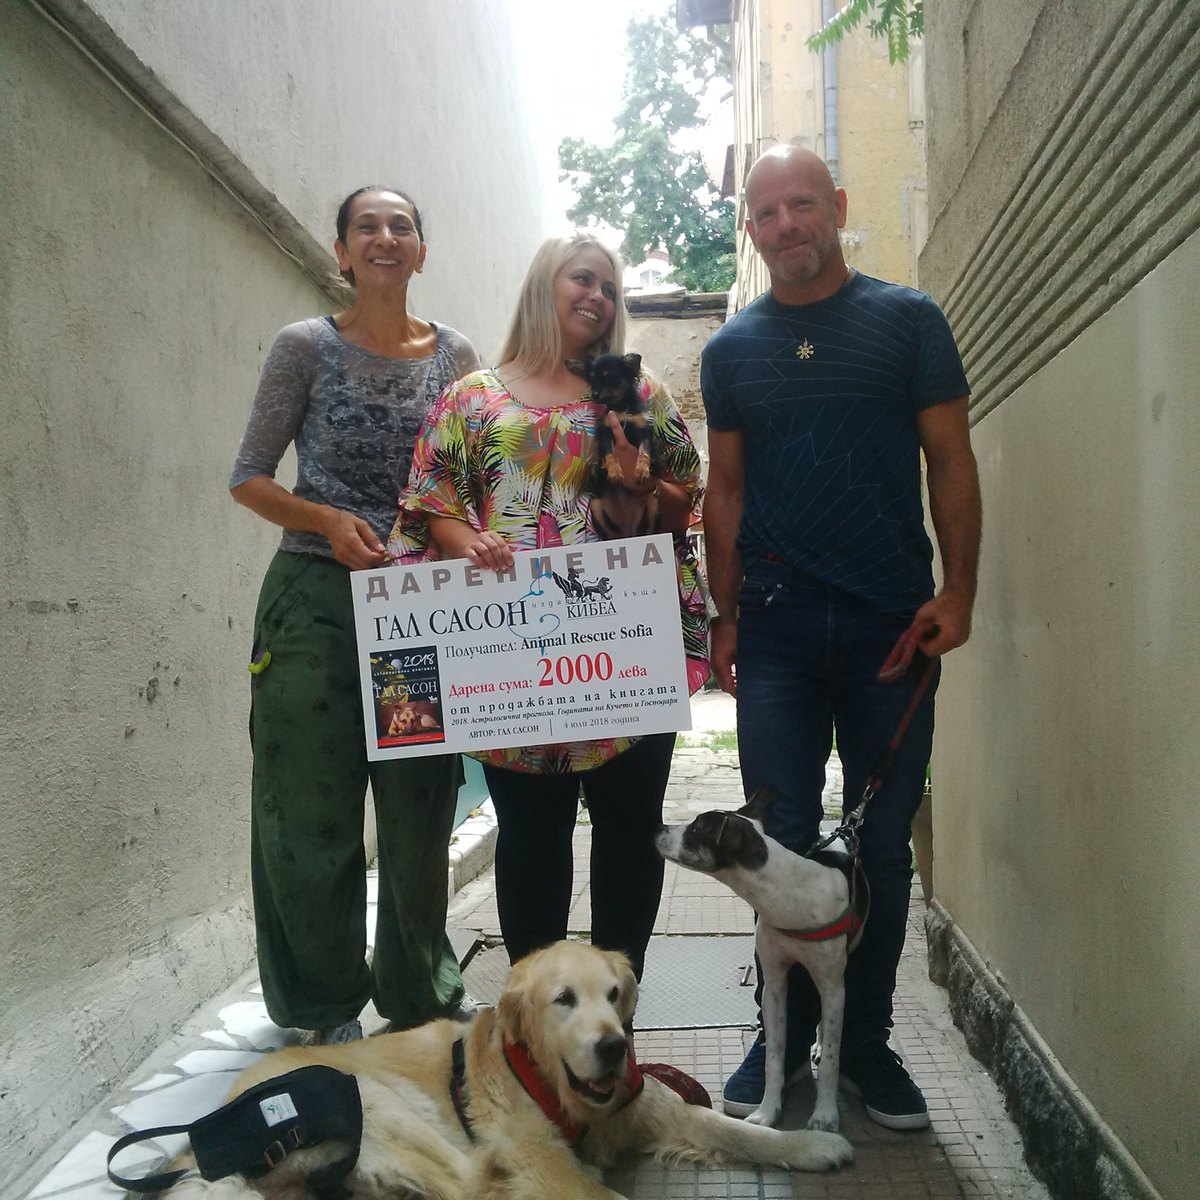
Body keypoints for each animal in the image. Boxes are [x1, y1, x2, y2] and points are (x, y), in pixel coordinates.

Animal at [156, 941, 851, 1200]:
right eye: (564, 1000)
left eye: (616, 995)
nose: (613, 1048)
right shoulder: (547, 1161)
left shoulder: (648, 1107)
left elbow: (743, 1132)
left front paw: (813, 1144)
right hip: (376, 1105)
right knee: (469, 1182)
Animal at [575, 352, 664, 540]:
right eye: (592, 380)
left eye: (610, 377)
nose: (594, 394)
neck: (621, 408)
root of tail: (628, 534)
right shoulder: (605, 432)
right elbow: (610, 454)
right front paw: (614, 472)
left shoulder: (644, 432)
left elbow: (644, 452)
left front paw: (641, 471)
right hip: (596, 506)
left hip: (652, 503)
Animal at [655, 792, 869, 1133]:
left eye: (695, 829)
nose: (657, 829)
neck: (790, 896)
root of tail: (842, 831)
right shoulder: (775, 985)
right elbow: (774, 1059)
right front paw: (767, 1112)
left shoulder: (833, 986)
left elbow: (832, 1061)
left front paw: (824, 1115)